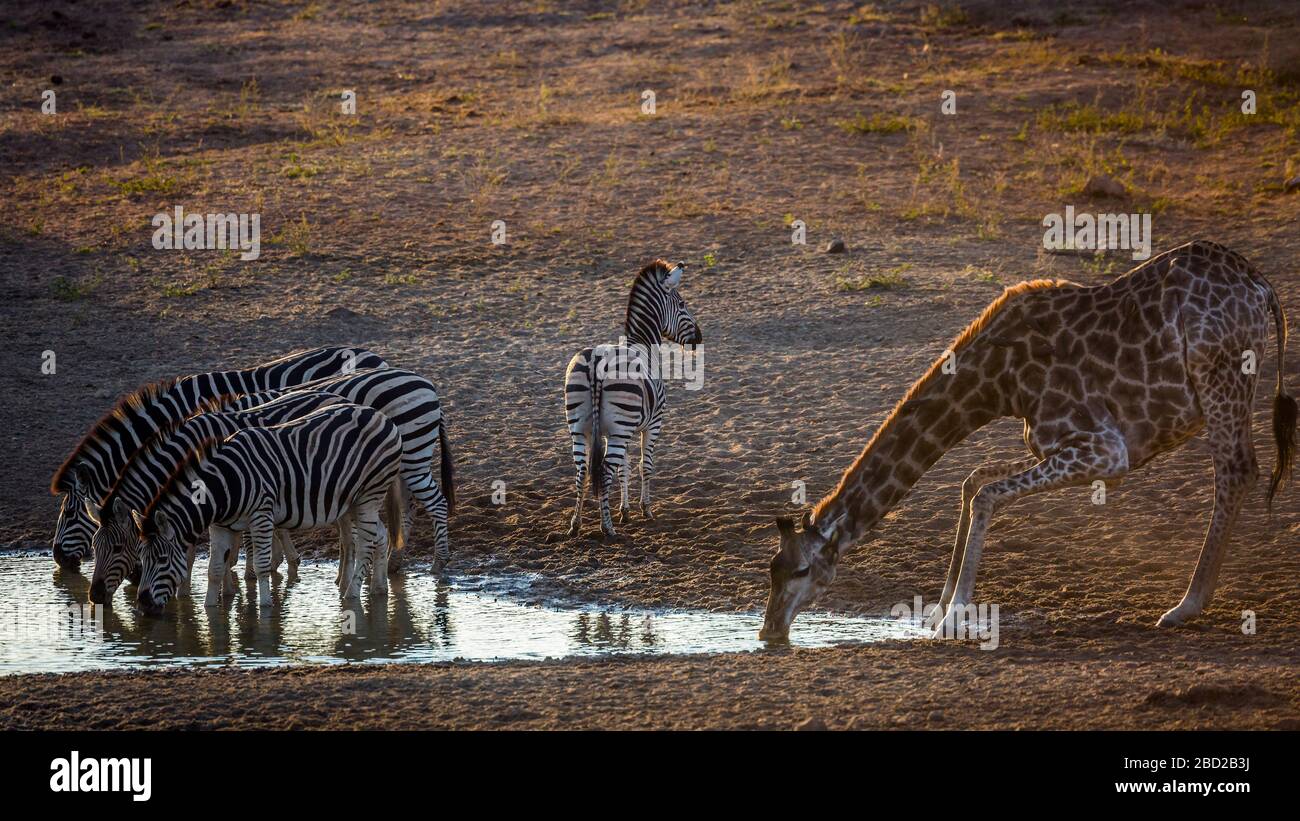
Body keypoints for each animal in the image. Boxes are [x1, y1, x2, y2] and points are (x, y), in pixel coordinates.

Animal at [134, 404, 404, 614]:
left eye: (161, 559)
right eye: (142, 559)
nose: (143, 603)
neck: (223, 486)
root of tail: (381, 415)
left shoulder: (261, 516)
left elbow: (262, 566)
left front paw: (265, 610)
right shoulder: (219, 526)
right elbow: (214, 570)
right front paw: (210, 611)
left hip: (370, 493)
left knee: (366, 546)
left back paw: (351, 596)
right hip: (353, 501)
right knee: (379, 536)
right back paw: (379, 590)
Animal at [563, 260, 702, 538]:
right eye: (682, 304)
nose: (700, 338)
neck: (643, 344)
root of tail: (596, 360)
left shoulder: (618, 431)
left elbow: (624, 469)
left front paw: (625, 511)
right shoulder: (653, 424)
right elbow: (643, 465)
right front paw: (645, 509)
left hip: (581, 427)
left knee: (582, 471)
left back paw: (576, 524)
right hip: (620, 424)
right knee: (604, 471)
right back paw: (607, 528)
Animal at [760, 240, 1295, 640]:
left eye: (801, 571)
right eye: (772, 567)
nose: (769, 630)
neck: (1000, 382)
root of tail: (1260, 285)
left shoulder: (1107, 452)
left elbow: (985, 495)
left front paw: (954, 616)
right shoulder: (1050, 444)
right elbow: (973, 482)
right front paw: (936, 611)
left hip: (1220, 374)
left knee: (1236, 471)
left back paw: (1186, 605)